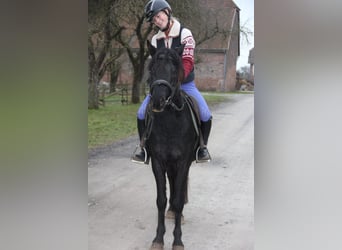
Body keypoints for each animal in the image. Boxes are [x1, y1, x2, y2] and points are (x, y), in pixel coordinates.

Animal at [144, 41, 198, 250]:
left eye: (175, 70)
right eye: (152, 69)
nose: (158, 101)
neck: (170, 123)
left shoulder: (183, 162)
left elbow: (178, 198)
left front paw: (177, 241)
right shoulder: (158, 162)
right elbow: (161, 199)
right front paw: (158, 239)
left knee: (178, 190)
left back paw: (176, 213)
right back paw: (171, 212)